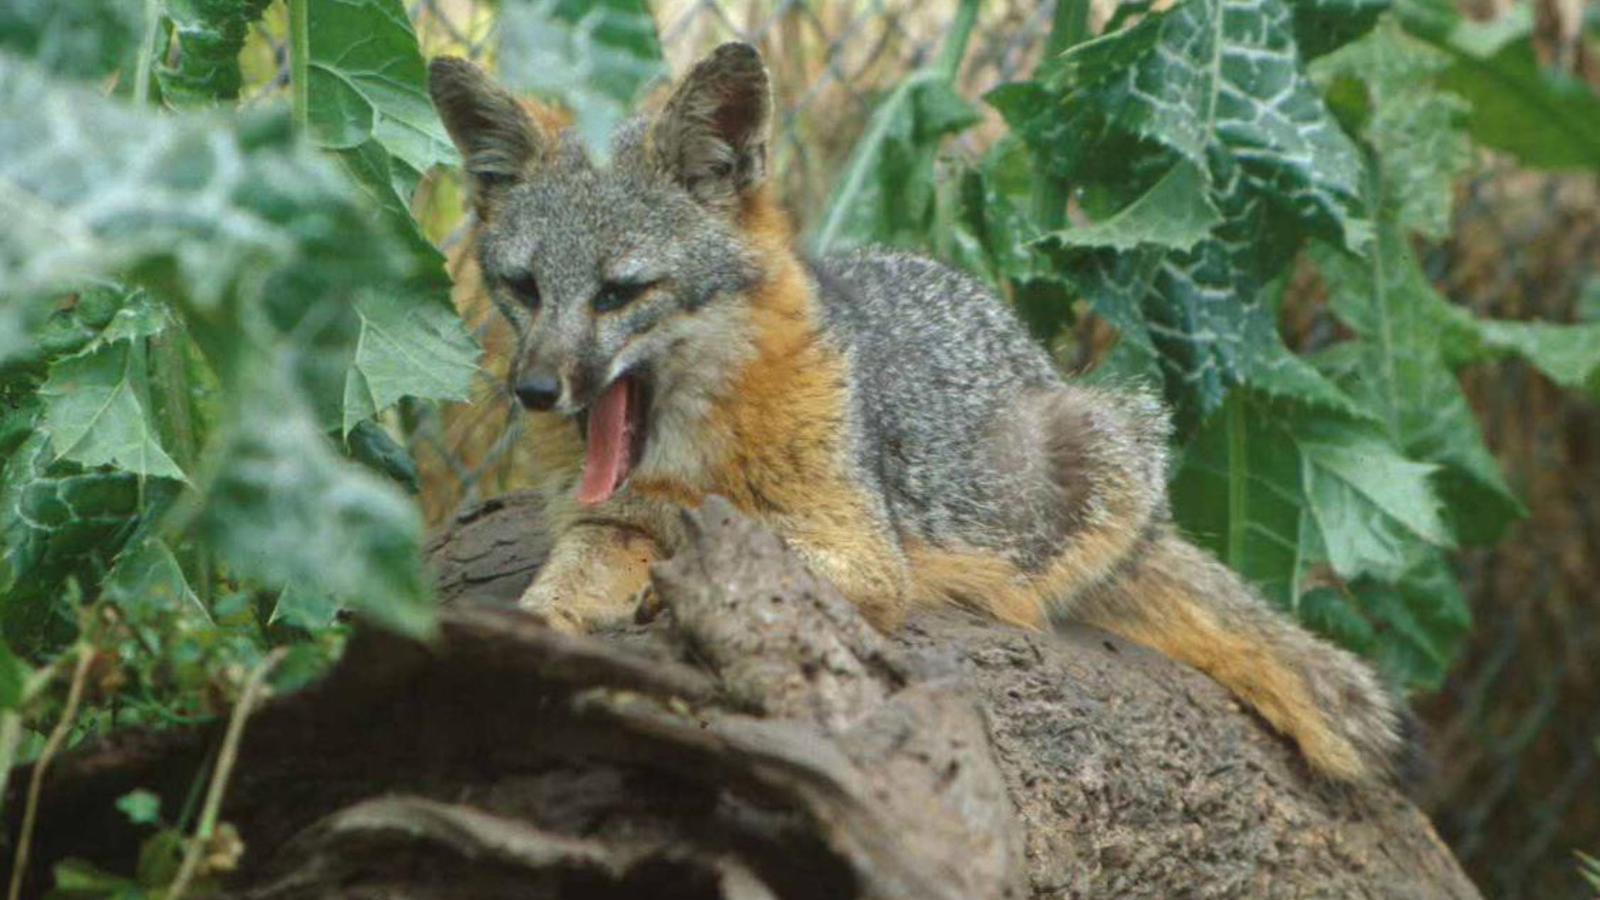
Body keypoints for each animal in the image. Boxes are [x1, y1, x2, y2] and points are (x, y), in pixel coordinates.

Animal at [428, 45, 1414, 781]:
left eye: (620, 292)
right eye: (523, 287)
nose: (534, 390)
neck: (688, 457)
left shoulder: (864, 552)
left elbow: (749, 559)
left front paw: (676, 597)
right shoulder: (601, 517)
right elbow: (571, 576)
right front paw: (543, 630)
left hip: (1108, 448)